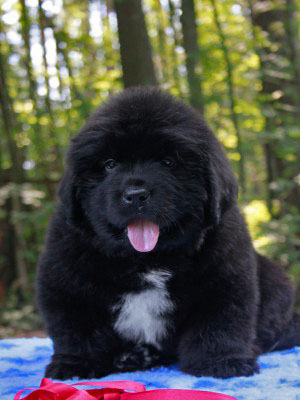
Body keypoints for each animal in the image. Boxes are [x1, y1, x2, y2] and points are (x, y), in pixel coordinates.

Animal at [37, 86, 300, 378]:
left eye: (168, 162)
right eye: (110, 164)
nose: (136, 194)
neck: (146, 261)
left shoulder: (225, 277)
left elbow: (220, 322)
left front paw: (221, 361)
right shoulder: (67, 280)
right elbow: (76, 329)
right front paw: (74, 364)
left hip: (275, 281)